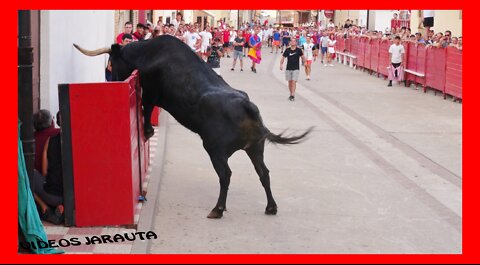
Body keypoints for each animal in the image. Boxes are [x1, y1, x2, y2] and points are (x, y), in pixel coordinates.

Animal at [73, 34, 314, 217]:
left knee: (226, 174)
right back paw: (271, 207)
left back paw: (218, 209)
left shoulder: (150, 92)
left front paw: (148, 131)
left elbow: (146, 110)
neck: (148, 52)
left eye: (112, 62)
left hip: (215, 150)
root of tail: (247, 105)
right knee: (263, 173)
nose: (111, 80)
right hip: (255, 148)